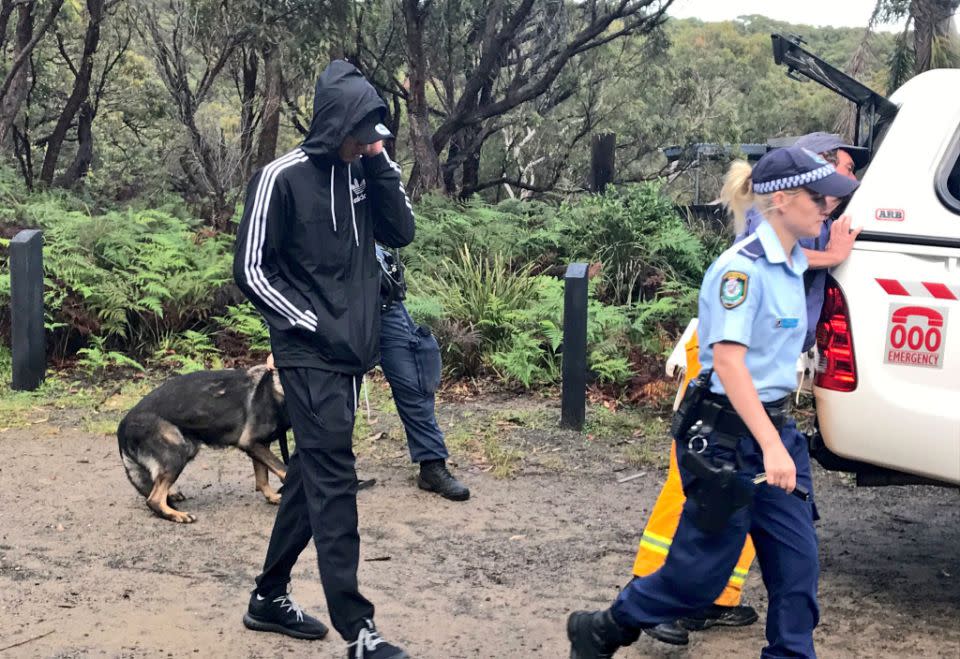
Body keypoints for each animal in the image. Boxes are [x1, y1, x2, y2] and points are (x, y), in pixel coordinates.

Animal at [118, 364, 288, 524]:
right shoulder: (252, 443)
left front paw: (272, 496)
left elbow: (262, 477)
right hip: (178, 452)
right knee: (153, 499)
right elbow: (283, 469)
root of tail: (122, 425)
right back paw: (177, 515)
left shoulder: (260, 445)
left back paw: (171, 495)